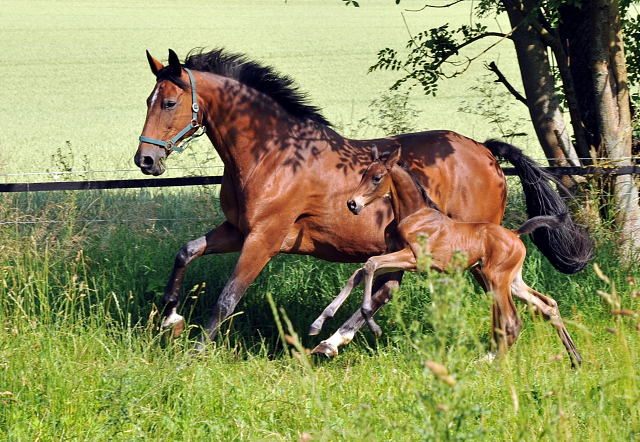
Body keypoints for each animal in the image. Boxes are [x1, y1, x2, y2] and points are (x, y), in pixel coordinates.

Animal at [312, 147, 584, 364]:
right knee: (548, 305)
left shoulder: (412, 259)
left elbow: (369, 265)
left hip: (495, 279)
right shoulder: (397, 257)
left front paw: (371, 322)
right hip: (512, 281)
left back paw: (489, 362)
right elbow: (359, 273)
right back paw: (575, 359)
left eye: (377, 178)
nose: (352, 204)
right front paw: (319, 323)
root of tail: (516, 234)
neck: (414, 215)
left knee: (512, 321)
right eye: (363, 175)